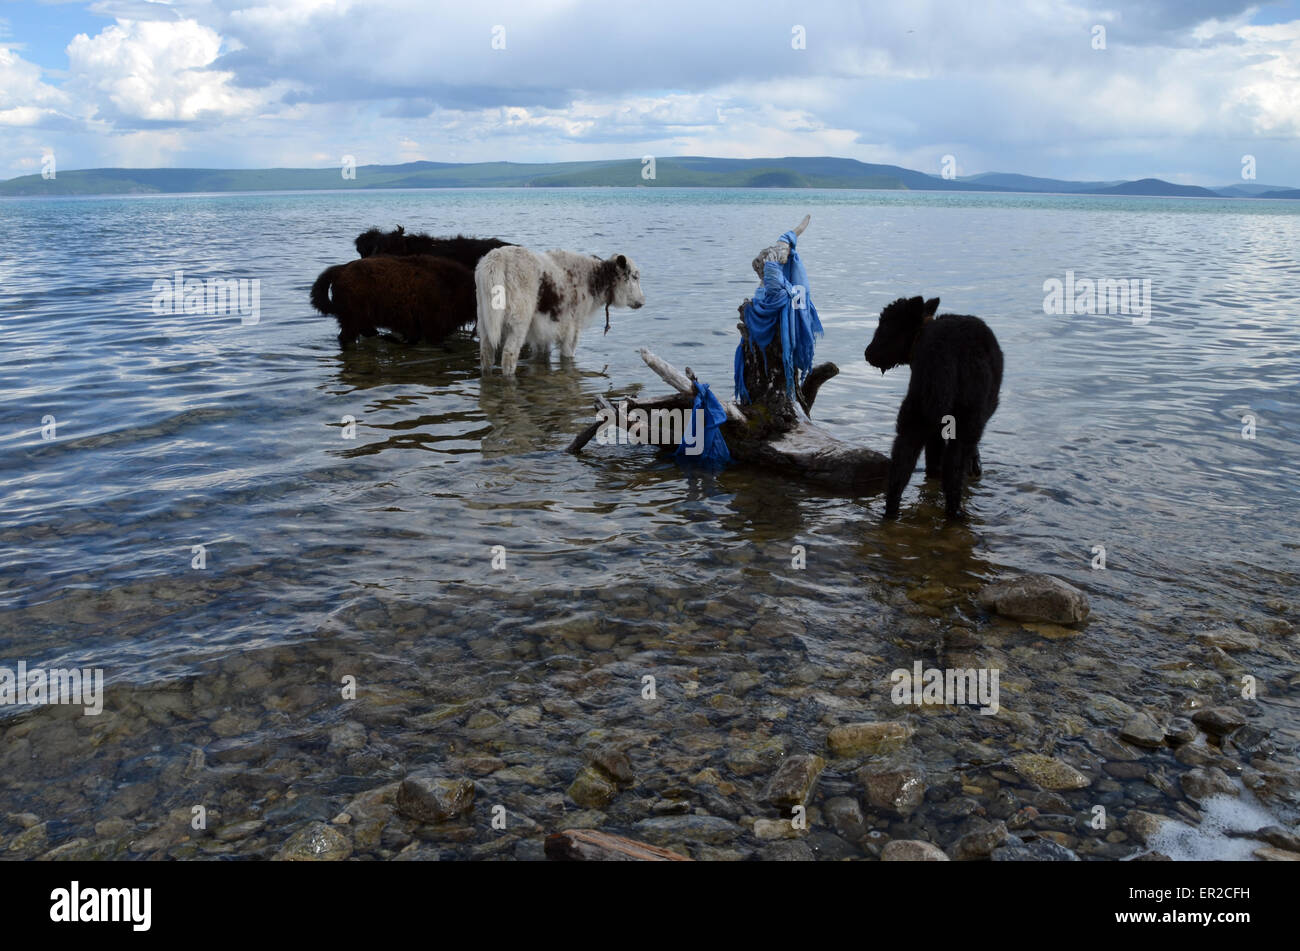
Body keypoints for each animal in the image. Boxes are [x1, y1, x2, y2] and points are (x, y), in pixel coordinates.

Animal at [863, 297, 1003, 519]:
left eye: (884, 326)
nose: (868, 353)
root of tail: (950, 354)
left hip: (923, 414)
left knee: (904, 470)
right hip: (949, 417)